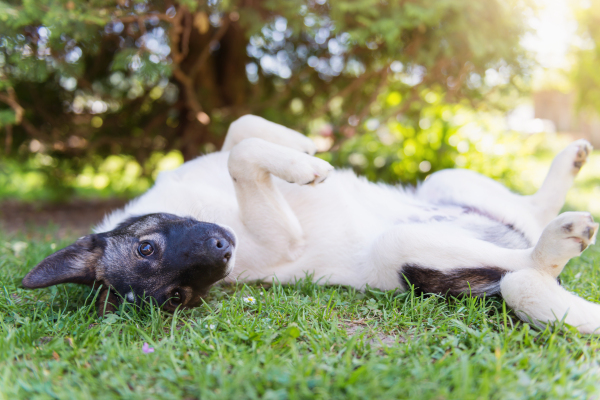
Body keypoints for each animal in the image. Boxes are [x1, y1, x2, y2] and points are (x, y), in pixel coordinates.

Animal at [21, 114, 600, 332]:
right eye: (177, 298)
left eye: (146, 248)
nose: (222, 249)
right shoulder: (279, 238)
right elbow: (243, 156)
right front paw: (309, 165)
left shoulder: (221, 157)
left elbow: (241, 134)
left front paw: (302, 149)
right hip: (407, 246)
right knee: (530, 267)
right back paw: (559, 241)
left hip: (448, 181)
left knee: (529, 212)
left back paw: (569, 163)